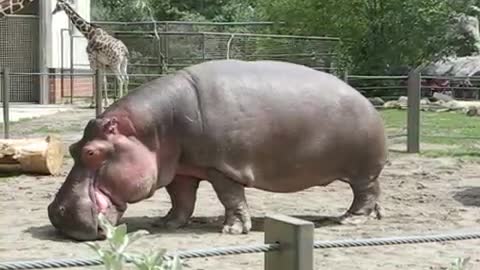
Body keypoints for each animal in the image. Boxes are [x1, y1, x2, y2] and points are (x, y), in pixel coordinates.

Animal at [47, 59, 388, 240]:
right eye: (73, 147)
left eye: (92, 152)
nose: (56, 212)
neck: (150, 131)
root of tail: (365, 99)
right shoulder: (181, 169)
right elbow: (181, 199)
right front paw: (166, 224)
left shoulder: (222, 166)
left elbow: (231, 198)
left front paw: (232, 230)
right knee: (373, 194)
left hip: (362, 170)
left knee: (365, 193)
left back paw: (349, 220)